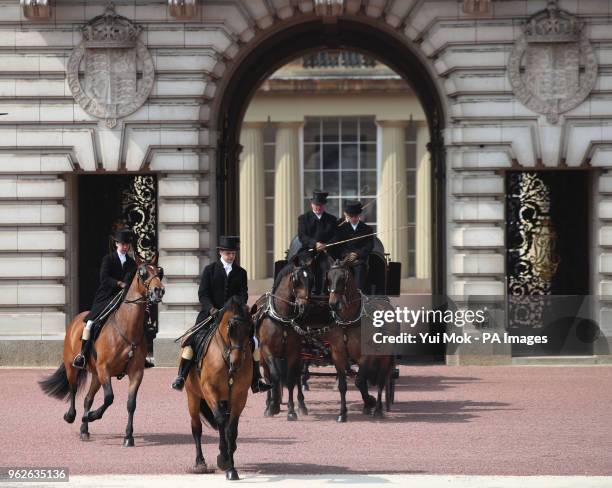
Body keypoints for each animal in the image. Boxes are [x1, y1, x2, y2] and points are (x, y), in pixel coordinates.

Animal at [39, 258, 166, 448]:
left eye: (159, 272)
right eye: (143, 273)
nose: (159, 290)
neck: (126, 329)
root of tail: (77, 319)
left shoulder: (136, 373)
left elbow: (131, 404)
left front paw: (128, 436)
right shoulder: (104, 369)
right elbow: (109, 397)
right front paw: (92, 416)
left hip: (96, 376)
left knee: (88, 399)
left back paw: (84, 430)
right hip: (74, 368)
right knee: (73, 389)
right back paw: (72, 416)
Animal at [185, 296, 255, 478]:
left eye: (250, 329)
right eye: (231, 329)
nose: (236, 363)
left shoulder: (239, 396)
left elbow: (231, 428)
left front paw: (231, 467)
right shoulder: (209, 390)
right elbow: (221, 421)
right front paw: (223, 457)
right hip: (193, 396)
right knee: (196, 427)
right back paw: (200, 462)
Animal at [253, 254, 314, 422]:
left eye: (311, 279)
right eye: (296, 279)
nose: (305, 307)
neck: (282, 318)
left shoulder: (293, 352)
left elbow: (291, 379)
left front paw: (292, 410)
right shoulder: (267, 351)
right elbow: (274, 375)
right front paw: (273, 405)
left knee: (298, 376)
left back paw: (302, 405)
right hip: (262, 355)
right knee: (268, 375)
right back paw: (270, 403)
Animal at [326, 258, 396, 422]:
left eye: (343, 278)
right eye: (329, 278)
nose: (333, 304)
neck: (348, 322)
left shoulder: (366, 355)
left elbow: (359, 381)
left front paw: (370, 401)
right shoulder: (338, 354)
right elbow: (344, 385)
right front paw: (342, 413)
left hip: (384, 357)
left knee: (381, 380)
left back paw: (377, 409)